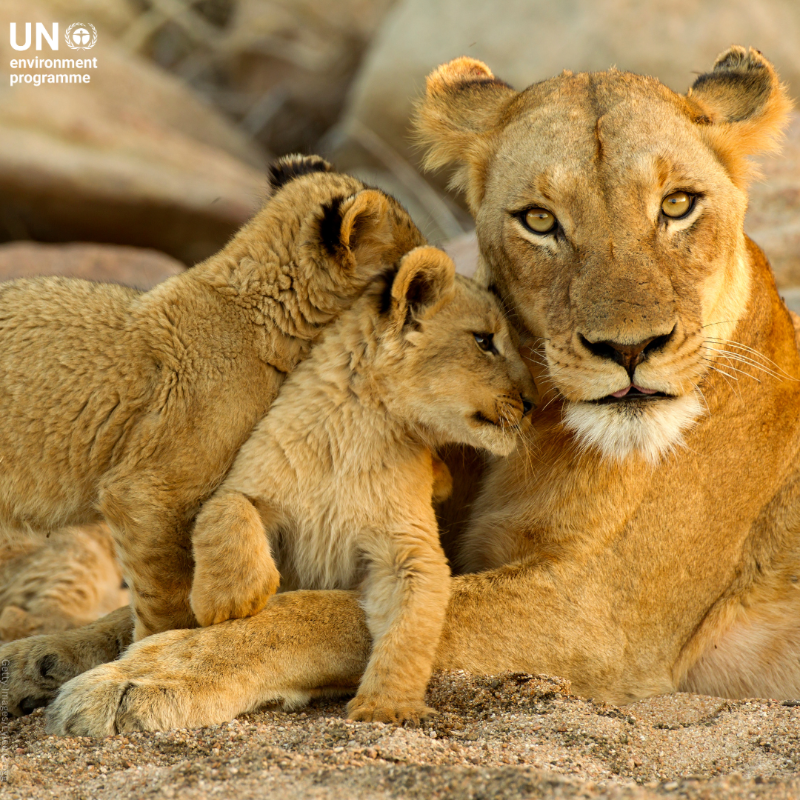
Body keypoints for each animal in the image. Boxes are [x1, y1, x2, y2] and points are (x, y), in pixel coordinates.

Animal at [189, 245, 536, 724]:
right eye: (484, 341)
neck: (361, 427)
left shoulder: (409, 548)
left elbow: (410, 630)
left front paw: (387, 707)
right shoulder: (248, 479)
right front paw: (229, 601)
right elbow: (223, 511)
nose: (534, 403)